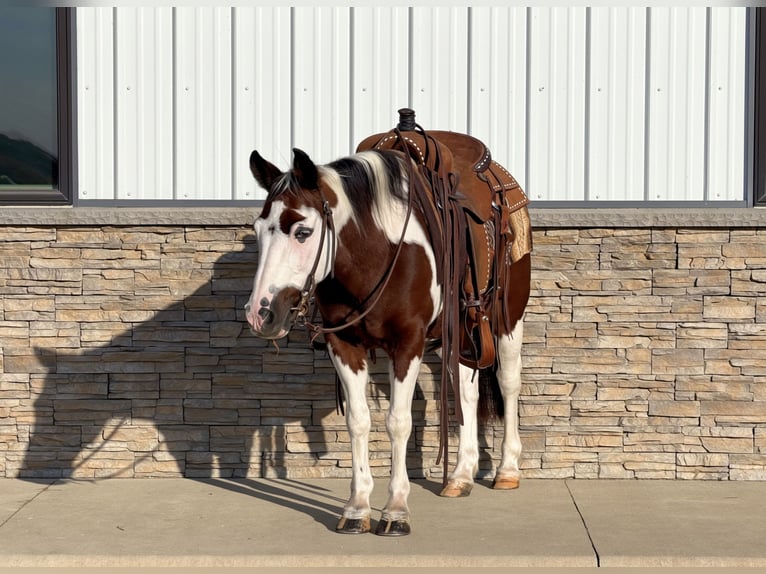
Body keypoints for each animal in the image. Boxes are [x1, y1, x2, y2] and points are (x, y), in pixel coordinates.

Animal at [244, 140, 531, 536]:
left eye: (302, 231)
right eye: (258, 229)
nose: (261, 313)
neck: (374, 252)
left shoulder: (407, 343)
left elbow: (398, 422)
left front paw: (395, 510)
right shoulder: (344, 345)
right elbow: (358, 421)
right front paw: (357, 507)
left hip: (508, 319)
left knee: (508, 382)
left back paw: (507, 470)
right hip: (460, 334)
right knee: (467, 392)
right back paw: (460, 476)